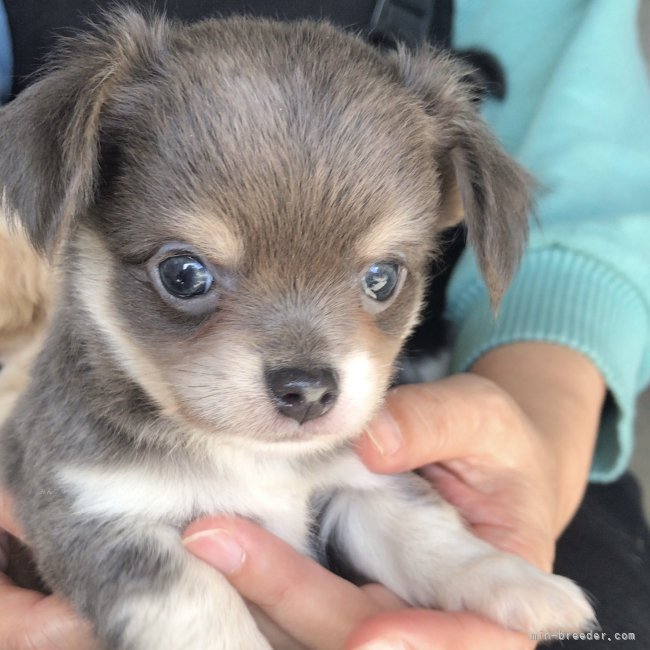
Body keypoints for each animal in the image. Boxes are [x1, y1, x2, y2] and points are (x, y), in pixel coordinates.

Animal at [0, 10, 596, 648]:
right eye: (183, 273)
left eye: (383, 278)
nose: (308, 391)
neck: (247, 456)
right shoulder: (100, 516)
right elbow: (203, 612)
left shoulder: (360, 482)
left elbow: (426, 530)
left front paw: (513, 578)